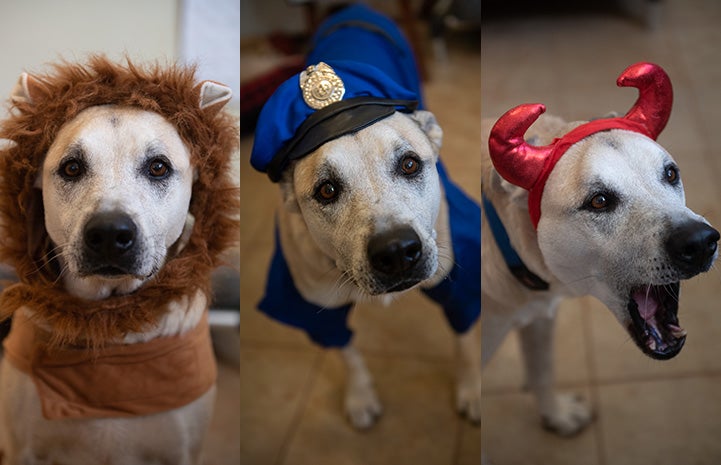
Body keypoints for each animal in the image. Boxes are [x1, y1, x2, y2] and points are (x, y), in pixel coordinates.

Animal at [0, 58, 239, 464]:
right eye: (71, 168)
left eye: (158, 167)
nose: (110, 234)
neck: (111, 328)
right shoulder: (23, 450)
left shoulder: (180, 450)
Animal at [250, 4, 480, 432]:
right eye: (326, 190)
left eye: (410, 164)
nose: (396, 251)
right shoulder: (311, 310)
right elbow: (347, 353)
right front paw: (360, 397)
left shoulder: (463, 281)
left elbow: (465, 340)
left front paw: (472, 389)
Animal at [480, 61, 716, 438]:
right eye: (600, 201)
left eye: (670, 174)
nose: (700, 242)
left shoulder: (539, 317)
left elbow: (542, 370)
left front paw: (556, 414)